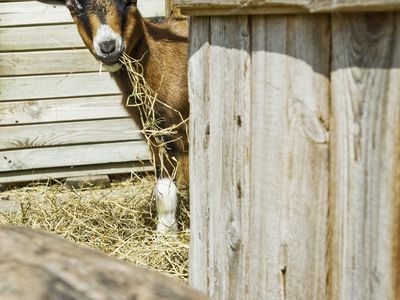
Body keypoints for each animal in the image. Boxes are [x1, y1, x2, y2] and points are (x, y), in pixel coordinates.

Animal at [36, 0, 188, 233]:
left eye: (130, 2)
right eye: (73, 7)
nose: (108, 46)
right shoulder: (154, 131)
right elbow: (164, 188)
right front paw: (165, 232)